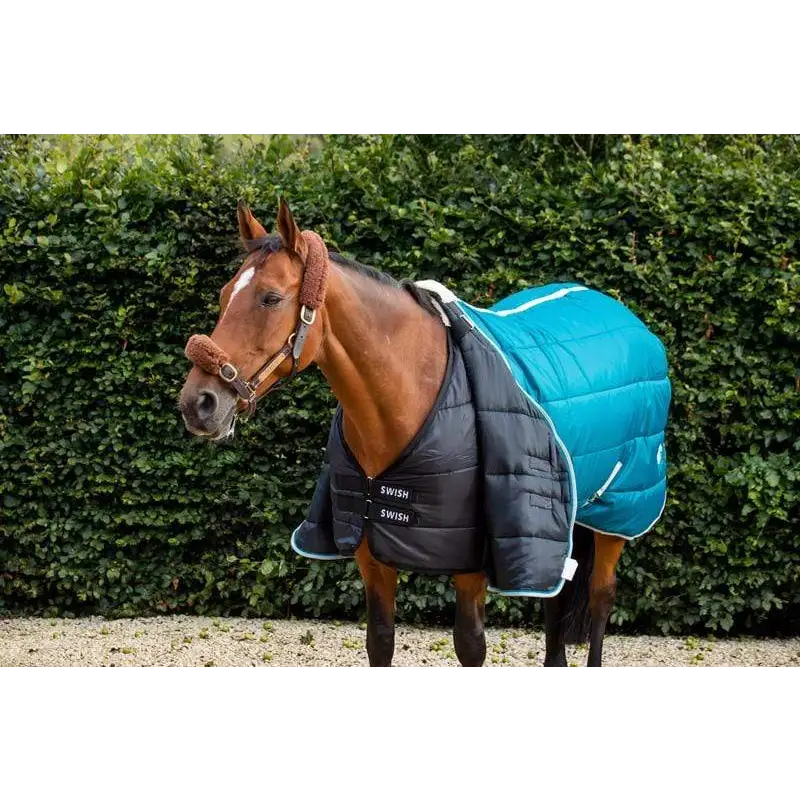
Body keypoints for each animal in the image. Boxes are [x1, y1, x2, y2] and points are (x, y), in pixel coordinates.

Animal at [178, 198, 656, 672]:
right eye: (224, 296)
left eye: (271, 297)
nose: (198, 403)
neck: (416, 393)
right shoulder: (371, 555)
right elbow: (380, 643)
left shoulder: (470, 562)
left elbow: (470, 647)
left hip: (617, 515)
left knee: (600, 597)